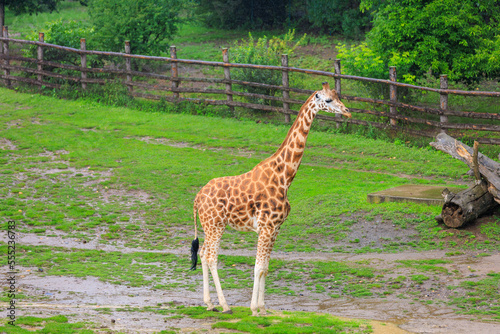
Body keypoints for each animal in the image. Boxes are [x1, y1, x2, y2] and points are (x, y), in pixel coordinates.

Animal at [189, 81, 350, 316]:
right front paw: (254, 309)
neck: (284, 177)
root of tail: (197, 198)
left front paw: (263, 308)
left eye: (339, 96)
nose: (347, 111)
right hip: (215, 224)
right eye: (328, 100)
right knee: (211, 257)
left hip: (211, 225)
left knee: (202, 254)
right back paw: (225, 306)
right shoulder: (266, 227)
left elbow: (265, 268)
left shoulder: (275, 229)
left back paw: (210, 303)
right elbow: (257, 267)